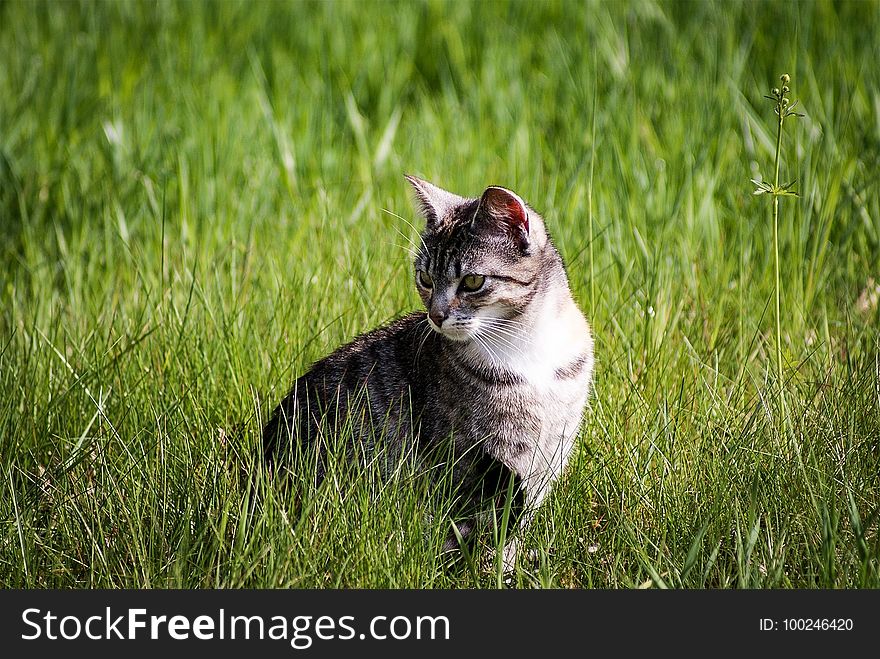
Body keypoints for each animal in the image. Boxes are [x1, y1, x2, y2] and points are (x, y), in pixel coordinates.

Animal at [260, 177, 592, 568]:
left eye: (473, 281)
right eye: (425, 278)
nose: (435, 315)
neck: (529, 347)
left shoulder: (547, 457)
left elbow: (513, 529)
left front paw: (509, 566)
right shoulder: (471, 461)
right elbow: (486, 529)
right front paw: (493, 569)